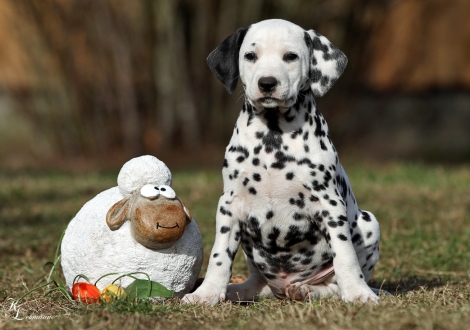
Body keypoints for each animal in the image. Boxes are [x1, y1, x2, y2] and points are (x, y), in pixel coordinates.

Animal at [182, 20, 380, 304]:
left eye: (290, 57)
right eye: (250, 56)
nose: (267, 83)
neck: (273, 138)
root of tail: (280, 287)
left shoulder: (330, 204)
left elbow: (345, 255)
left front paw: (357, 293)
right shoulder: (230, 205)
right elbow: (219, 256)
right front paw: (206, 293)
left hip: (369, 223)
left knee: (330, 286)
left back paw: (308, 290)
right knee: (257, 282)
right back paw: (237, 290)